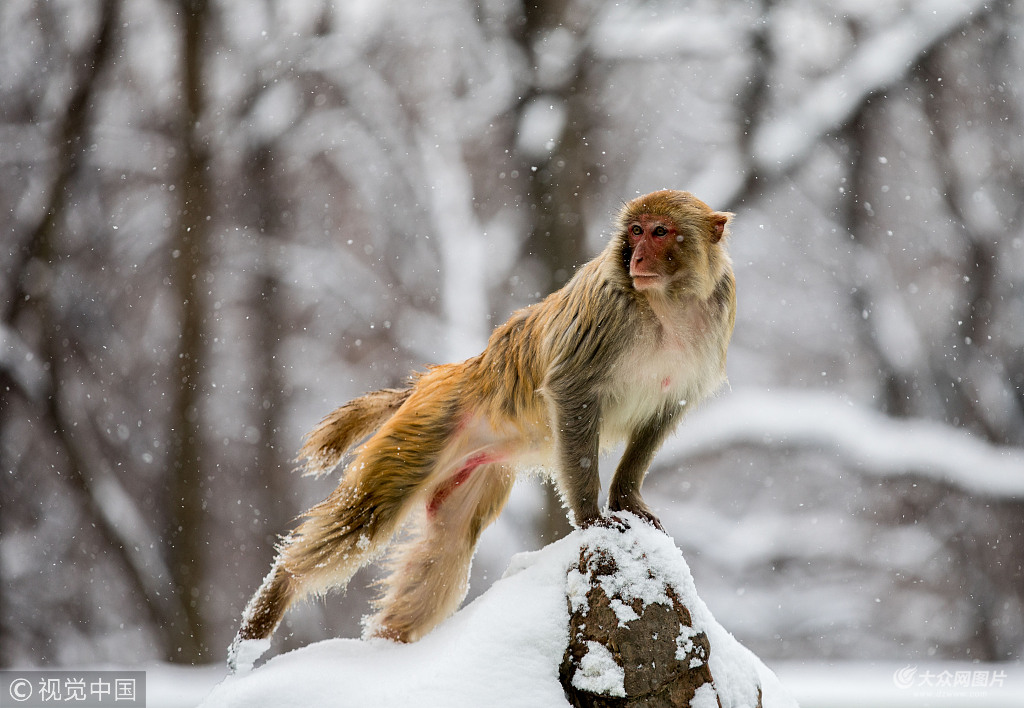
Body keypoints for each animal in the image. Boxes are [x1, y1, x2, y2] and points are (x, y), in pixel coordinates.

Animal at [228, 188, 737, 672]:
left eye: (660, 231)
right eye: (634, 231)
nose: (636, 259)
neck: (668, 303)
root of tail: (452, 372)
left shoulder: (714, 320)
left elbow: (665, 411)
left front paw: (627, 498)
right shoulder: (604, 311)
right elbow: (570, 390)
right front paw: (592, 516)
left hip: (475, 468)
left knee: (448, 546)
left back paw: (390, 648)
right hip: (423, 431)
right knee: (364, 520)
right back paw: (269, 608)